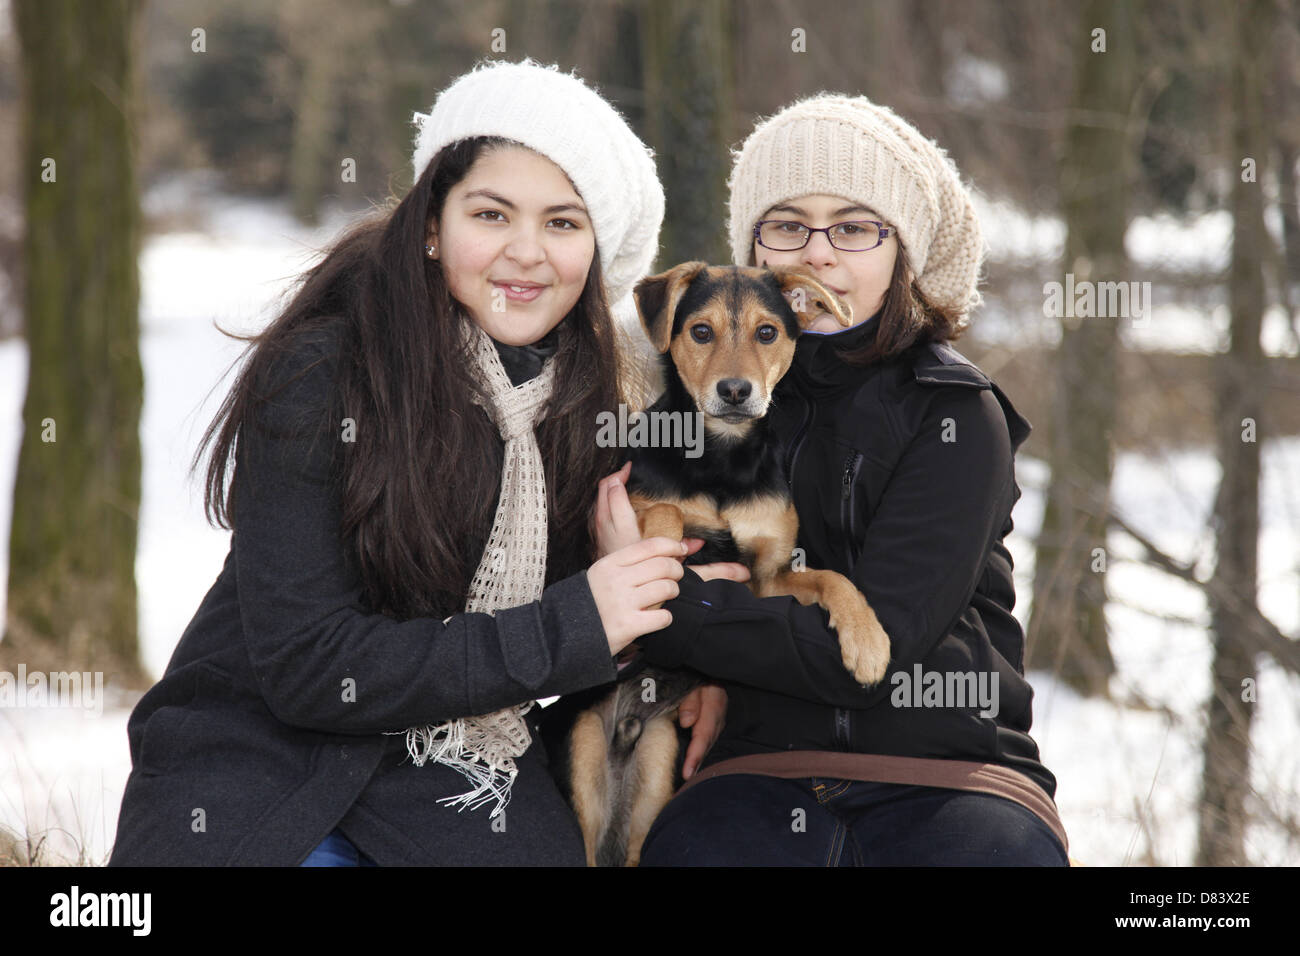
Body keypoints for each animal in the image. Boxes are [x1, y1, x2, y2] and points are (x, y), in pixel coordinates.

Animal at [559, 261, 894, 868]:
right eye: (700, 332)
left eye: (767, 333)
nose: (735, 391)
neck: (722, 458)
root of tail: (625, 729)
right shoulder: (629, 510)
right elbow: (665, 512)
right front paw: (663, 564)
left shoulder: (765, 580)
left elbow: (830, 578)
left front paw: (867, 642)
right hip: (583, 759)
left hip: (657, 769)